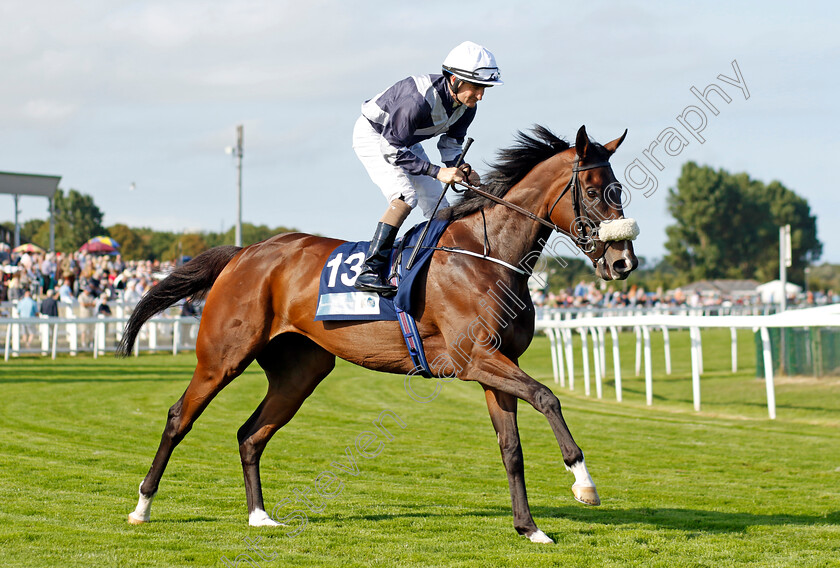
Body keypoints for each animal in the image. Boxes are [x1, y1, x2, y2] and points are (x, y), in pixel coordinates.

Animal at [120, 126, 636, 544]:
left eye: (619, 189)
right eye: (593, 190)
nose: (623, 262)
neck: (487, 255)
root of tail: (245, 252)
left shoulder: (498, 365)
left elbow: (511, 449)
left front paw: (529, 528)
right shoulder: (474, 358)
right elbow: (548, 397)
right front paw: (583, 482)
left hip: (301, 371)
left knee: (251, 434)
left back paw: (259, 516)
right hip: (222, 357)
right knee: (179, 417)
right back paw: (142, 507)